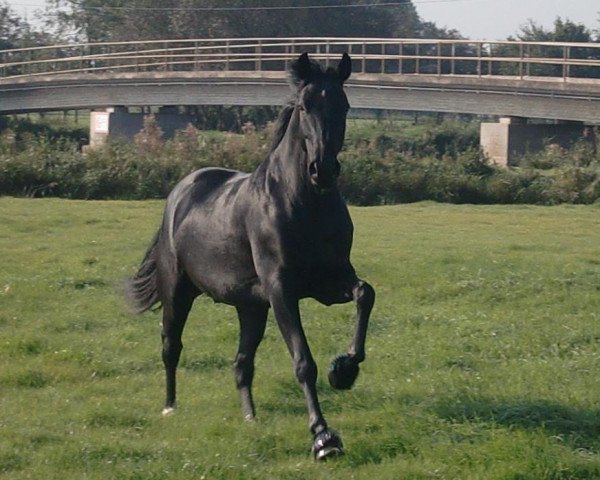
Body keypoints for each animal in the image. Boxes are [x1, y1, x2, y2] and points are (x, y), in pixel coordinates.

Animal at [127, 51, 376, 458]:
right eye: (305, 106)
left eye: (344, 105)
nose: (322, 170)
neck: (301, 203)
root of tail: (180, 192)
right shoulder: (281, 290)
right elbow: (303, 360)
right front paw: (323, 437)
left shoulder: (329, 280)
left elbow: (364, 293)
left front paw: (343, 370)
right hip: (178, 293)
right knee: (170, 346)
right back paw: (169, 407)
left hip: (251, 307)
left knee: (241, 363)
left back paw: (250, 418)